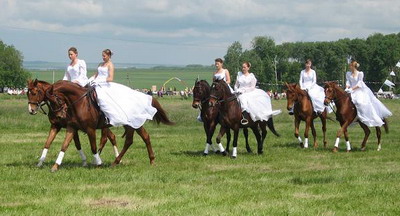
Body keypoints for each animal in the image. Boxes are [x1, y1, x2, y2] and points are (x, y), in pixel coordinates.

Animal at [45, 80, 173, 171]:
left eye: (56, 100)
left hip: (133, 124)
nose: (59, 117)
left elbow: (93, 147)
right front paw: (55, 166)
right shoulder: (72, 127)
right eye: (49, 102)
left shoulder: (90, 129)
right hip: (133, 124)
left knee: (130, 140)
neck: (80, 102)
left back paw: (116, 162)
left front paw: (98, 163)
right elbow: (65, 145)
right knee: (142, 137)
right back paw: (150, 160)